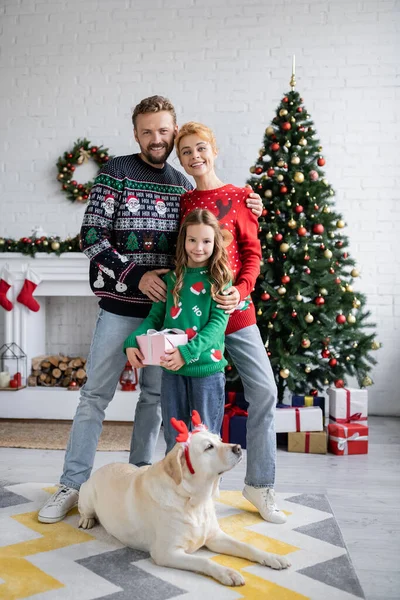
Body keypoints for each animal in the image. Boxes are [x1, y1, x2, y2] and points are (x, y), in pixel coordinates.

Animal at [79, 412, 290, 584]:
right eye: (209, 447)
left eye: (220, 439)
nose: (238, 447)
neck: (193, 500)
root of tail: (100, 468)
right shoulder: (166, 552)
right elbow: (204, 561)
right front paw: (227, 572)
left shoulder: (215, 537)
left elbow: (246, 546)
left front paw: (271, 557)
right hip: (87, 494)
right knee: (84, 509)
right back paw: (86, 520)